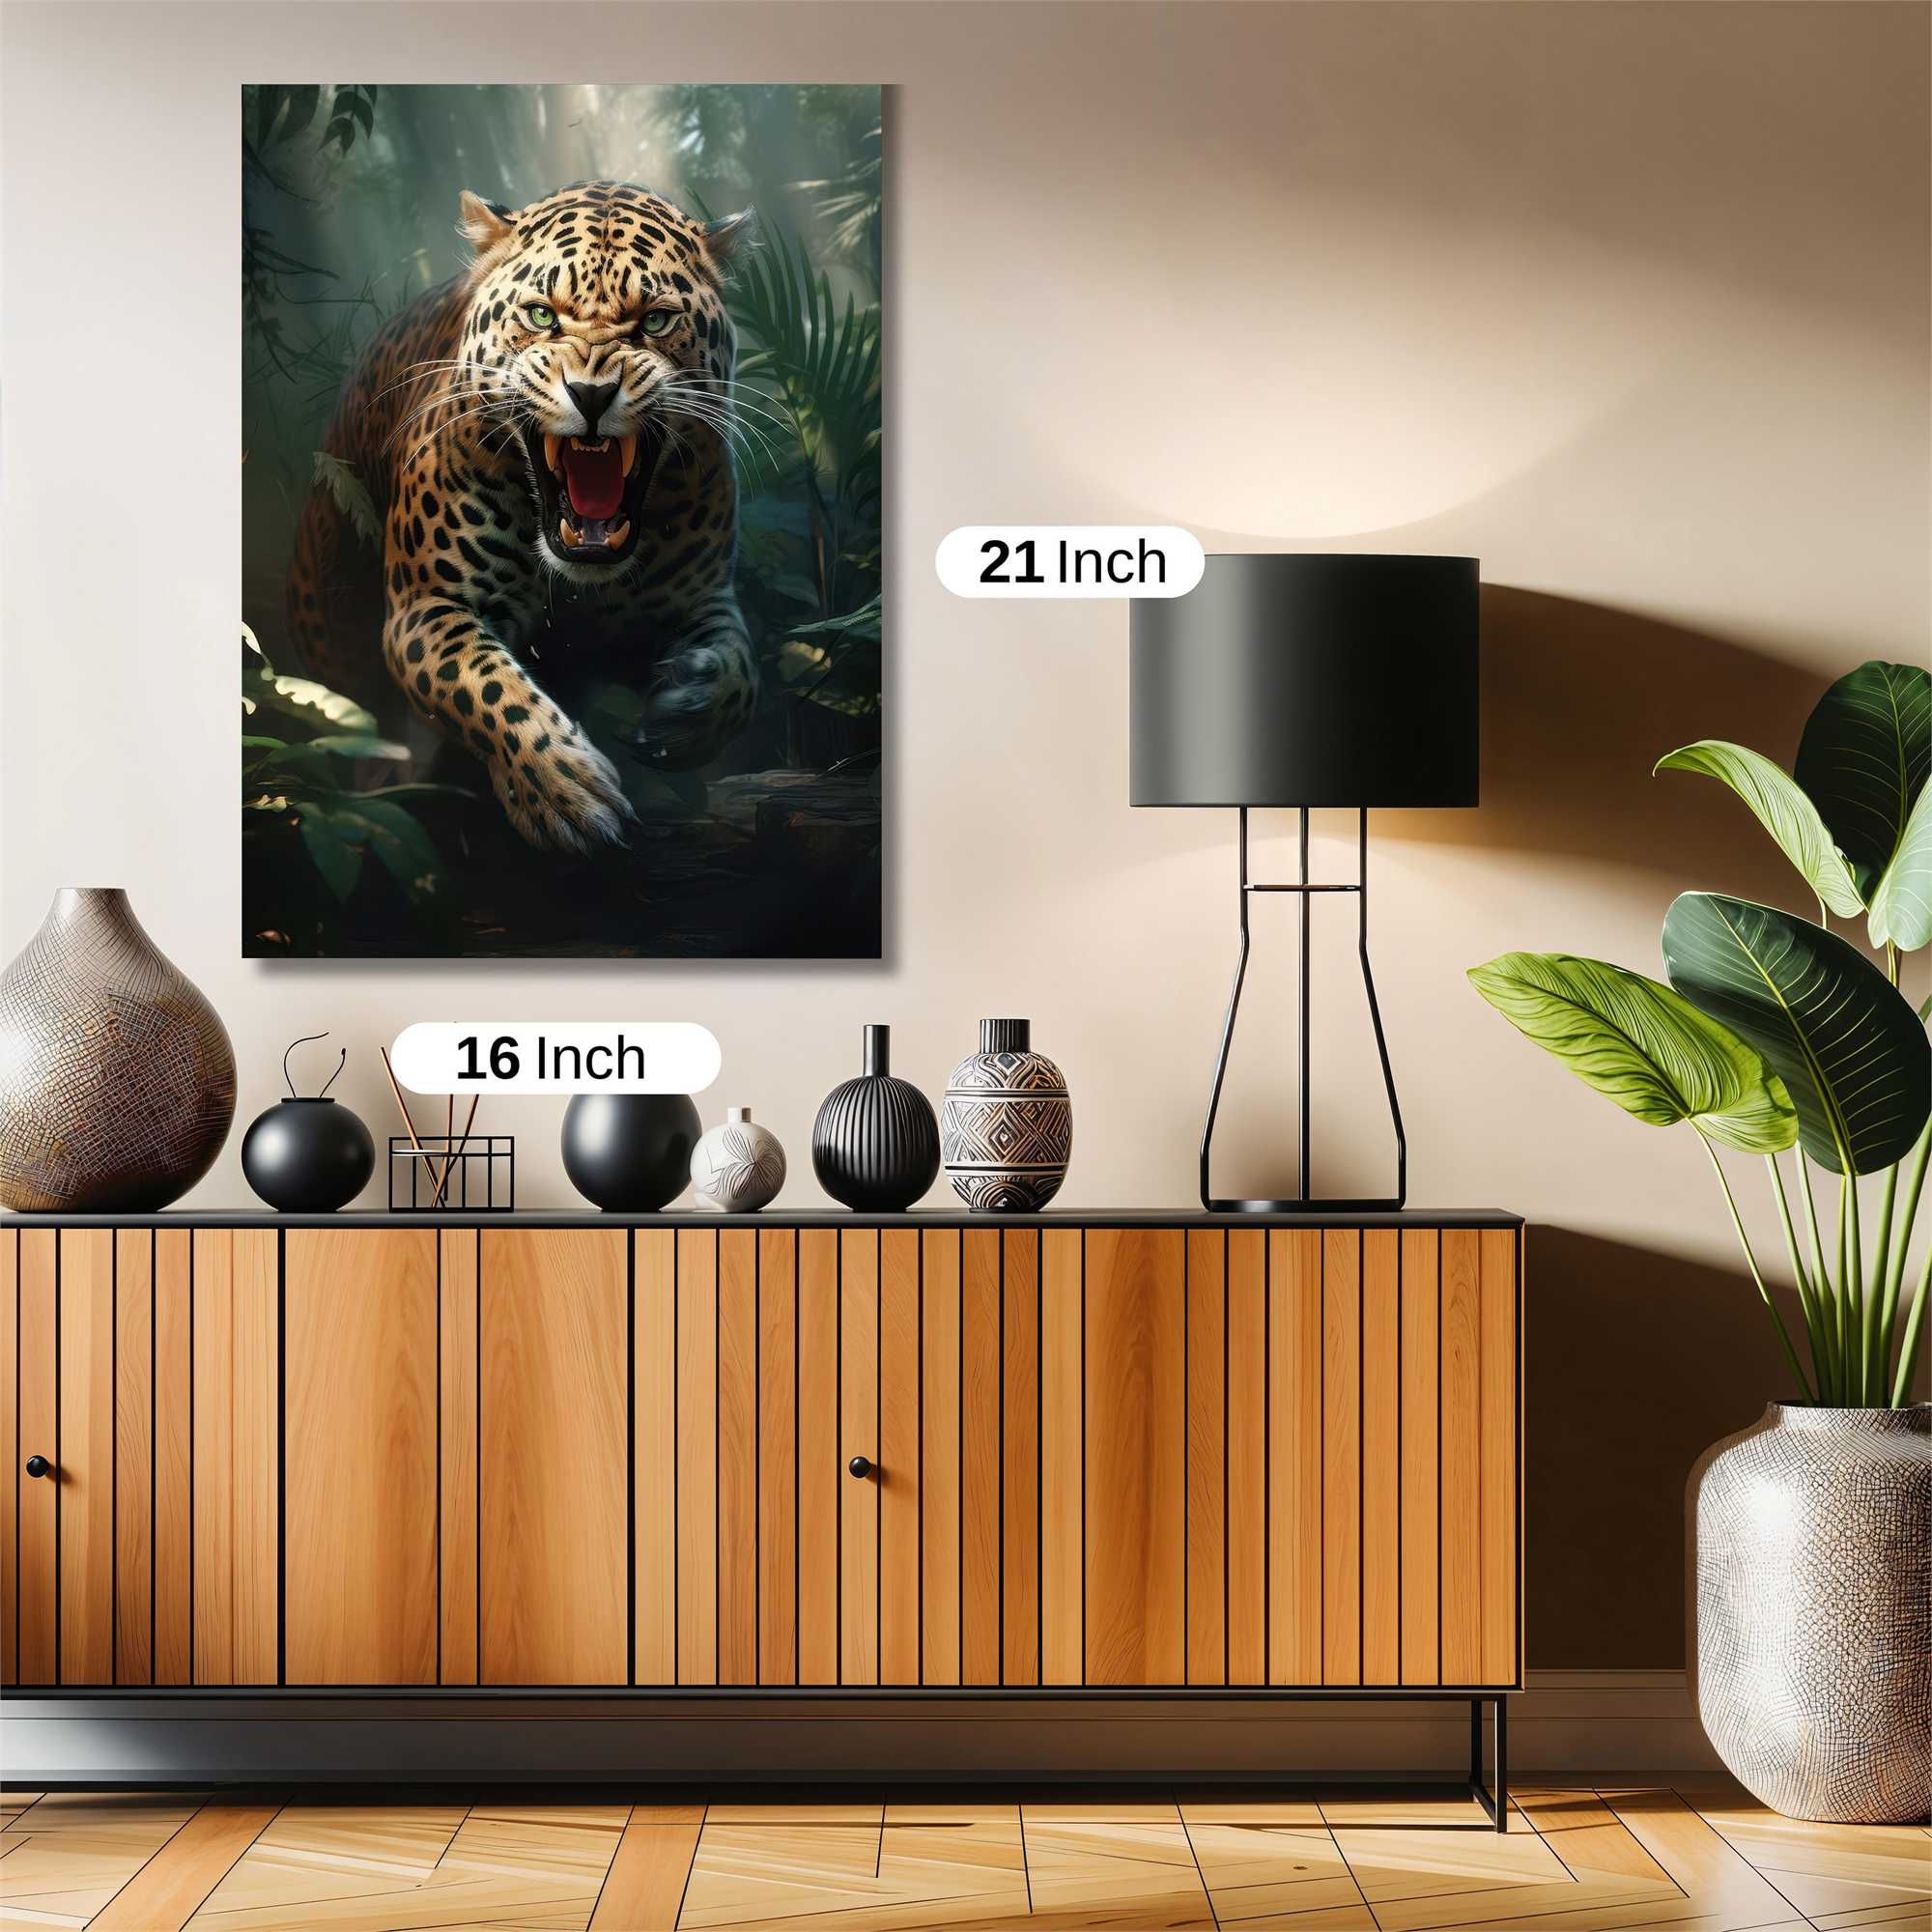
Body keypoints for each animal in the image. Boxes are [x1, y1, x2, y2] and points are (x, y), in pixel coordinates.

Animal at [285, 180, 761, 852]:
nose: (592, 394)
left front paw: (687, 708)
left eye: (656, 320)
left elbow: (741, 674)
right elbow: (488, 688)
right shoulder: (426, 607)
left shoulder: (702, 597)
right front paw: (565, 791)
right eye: (541, 316)